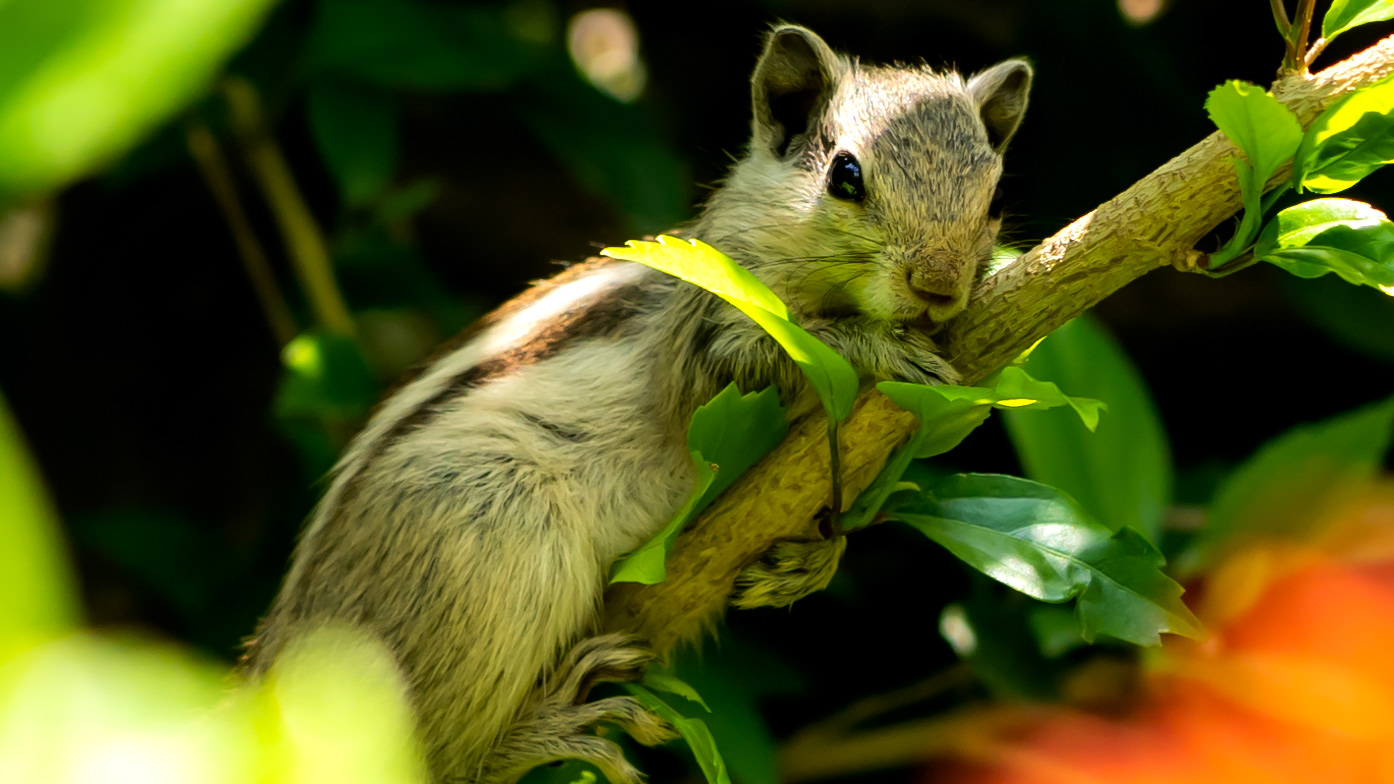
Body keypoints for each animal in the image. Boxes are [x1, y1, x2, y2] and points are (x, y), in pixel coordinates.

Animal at [241, 24, 1031, 784]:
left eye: (995, 200)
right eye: (846, 176)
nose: (938, 285)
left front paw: (812, 561)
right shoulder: (708, 333)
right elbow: (764, 361)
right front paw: (873, 346)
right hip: (487, 534)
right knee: (444, 758)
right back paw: (550, 729)